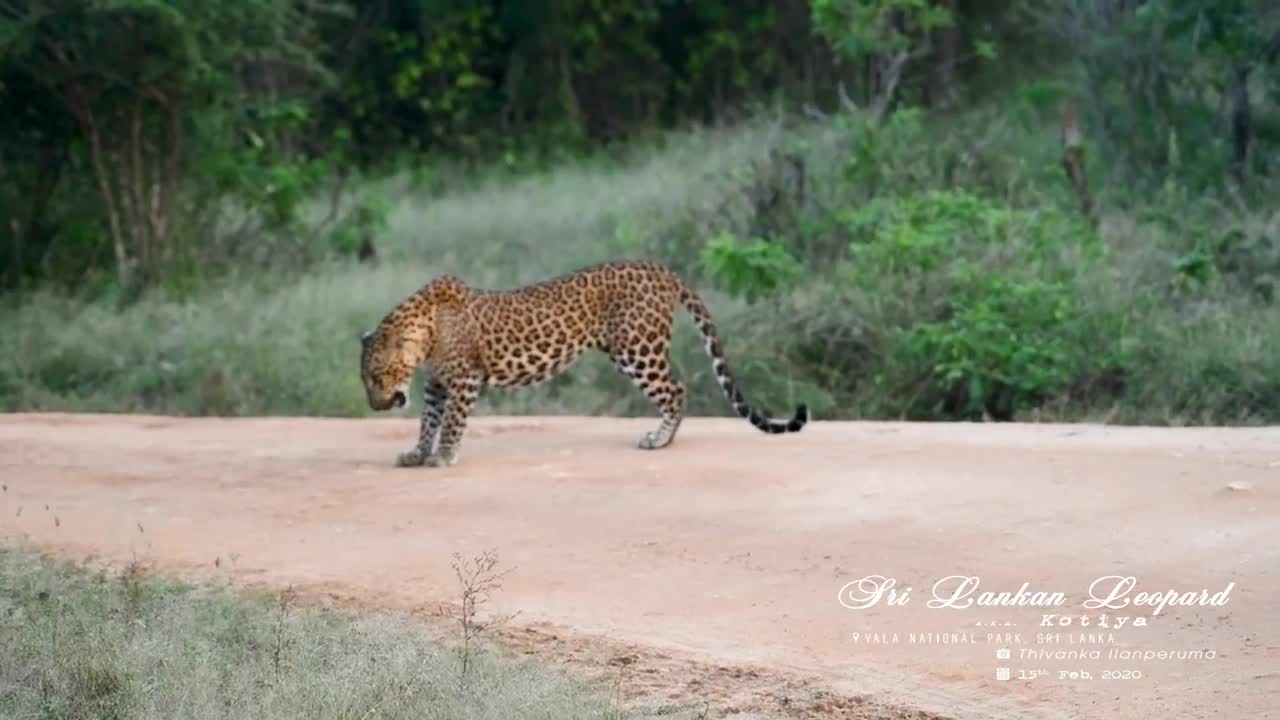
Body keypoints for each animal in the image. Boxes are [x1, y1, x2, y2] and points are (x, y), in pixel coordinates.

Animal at [355, 257, 803, 466]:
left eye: (377, 376)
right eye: (366, 380)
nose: (374, 406)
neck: (424, 336)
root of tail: (660, 268)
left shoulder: (464, 379)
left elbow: (450, 424)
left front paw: (443, 457)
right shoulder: (436, 383)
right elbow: (427, 421)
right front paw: (416, 454)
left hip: (637, 349)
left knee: (676, 389)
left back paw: (659, 440)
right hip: (628, 351)